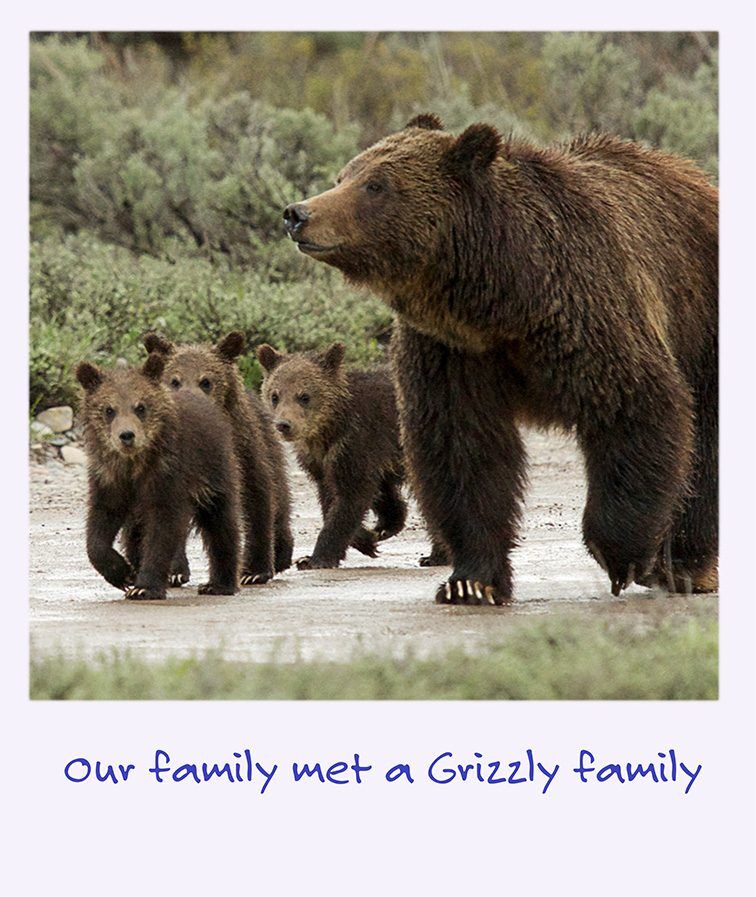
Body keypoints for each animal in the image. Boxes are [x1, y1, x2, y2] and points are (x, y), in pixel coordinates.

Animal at [76, 353, 241, 599]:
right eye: (109, 409)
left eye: (140, 407)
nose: (127, 435)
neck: (135, 463)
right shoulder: (109, 476)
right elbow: (101, 520)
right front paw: (123, 573)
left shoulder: (168, 475)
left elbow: (162, 529)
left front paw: (144, 586)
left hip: (213, 471)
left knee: (220, 522)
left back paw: (219, 584)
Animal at [142, 331, 294, 584]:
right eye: (175, 380)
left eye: (206, 381)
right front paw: (174, 571)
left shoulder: (243, 452)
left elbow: (257, 498)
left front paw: (255, 570)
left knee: (279, 497)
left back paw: (282, 553)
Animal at [257, 342, 445, 570]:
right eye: (275, 395)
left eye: (304, 396)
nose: (284, 425)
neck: (328, 428)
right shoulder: (323, 460)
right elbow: (335, 495)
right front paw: (374, 534)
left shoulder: (358, 442)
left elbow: (351, 497)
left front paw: (315, 558)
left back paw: (437, 555)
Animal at [282, 113, 718, 604]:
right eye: (344, 176)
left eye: (376, 184)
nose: (298, 213)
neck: (504, 297)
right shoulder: (452, 350)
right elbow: (463, 448)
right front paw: (471, 580)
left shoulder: (590, 316)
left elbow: (635, 408)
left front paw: (622, 556)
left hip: (700, 317)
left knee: (704, 448)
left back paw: (685, 567)